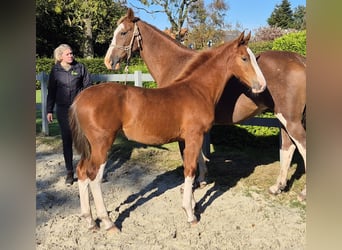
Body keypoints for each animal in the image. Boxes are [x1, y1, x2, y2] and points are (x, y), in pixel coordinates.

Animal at [70, 32, 268, 231]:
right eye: (244, 58)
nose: (262, 85)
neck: (198, 90)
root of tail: (80, 97)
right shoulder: (194, 136)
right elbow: (190, 169)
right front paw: (190, 214)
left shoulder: (188, 139)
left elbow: (192, 166)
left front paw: (192, 204)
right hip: (102, 144)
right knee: (94, 176)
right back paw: (108, 222)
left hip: (91, 146)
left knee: (82, 171)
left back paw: (90, 220)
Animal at [105, 8, 308, 201]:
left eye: (123, 32)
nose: (108, 61)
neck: (176, 65)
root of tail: (300, 60)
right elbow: (198, 155)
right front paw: (202, 179)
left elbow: (188, 156)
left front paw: (191, 185)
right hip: (283, 118)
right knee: (288, 147)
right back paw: (278, 187)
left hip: (290, 120)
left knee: (302, 146)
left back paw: (303, 193)